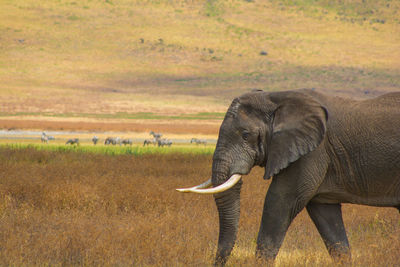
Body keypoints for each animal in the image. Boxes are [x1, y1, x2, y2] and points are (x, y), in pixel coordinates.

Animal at [178, 89, 400, 266]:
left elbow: (280, 202)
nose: (217, 263)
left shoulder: (312, 152)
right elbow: (327, 220)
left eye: (245, 135)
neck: (276, 98)